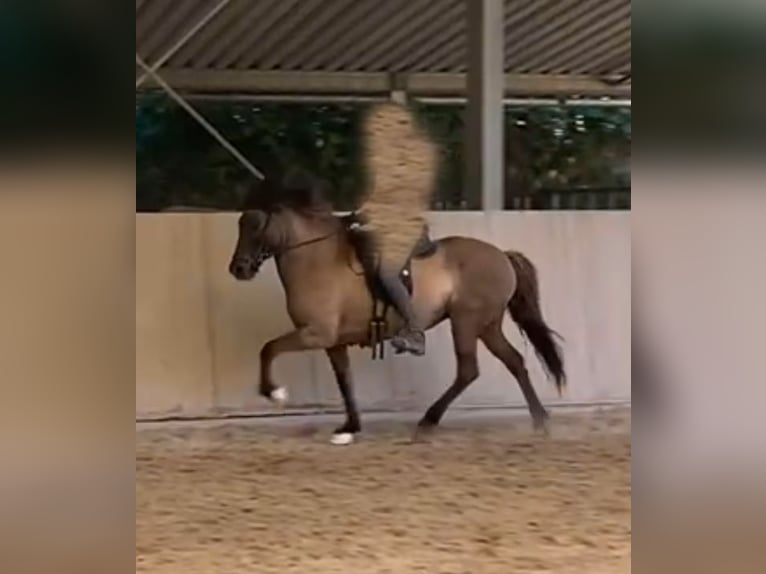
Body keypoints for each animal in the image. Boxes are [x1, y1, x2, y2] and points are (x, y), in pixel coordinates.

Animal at [228, 196, 565, 445]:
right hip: (487, 325)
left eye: (256, 226)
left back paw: (427, 422)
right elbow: (344, 380)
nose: (238, 268)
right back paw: (541, 421)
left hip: (466, 322)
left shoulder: (315, 333)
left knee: (468, 370)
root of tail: (502, 255)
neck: (316, 260)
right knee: (514, 361)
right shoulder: (332, 341)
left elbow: (268, 349)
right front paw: (349, 428)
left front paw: (274, 392)